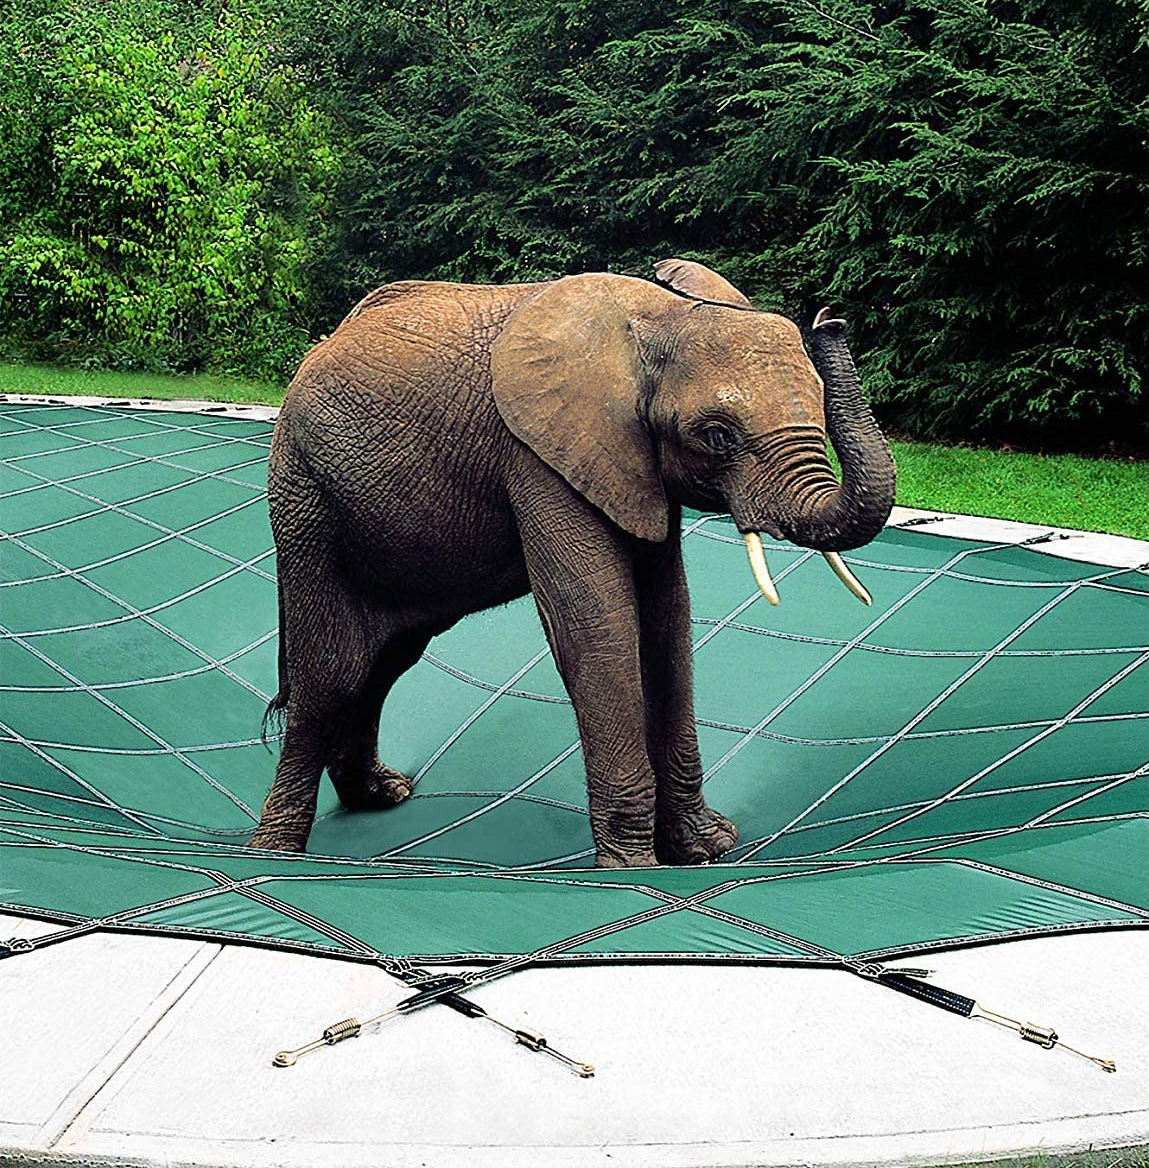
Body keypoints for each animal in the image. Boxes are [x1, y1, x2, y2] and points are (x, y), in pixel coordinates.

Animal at [248, 259, 896, 866]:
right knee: (332, 672)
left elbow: (667, 621)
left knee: (383, 659)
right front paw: (634, 867)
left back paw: (382, 795)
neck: (660, 317)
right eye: (717, 436)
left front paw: (705, 848)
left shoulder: (631, 467)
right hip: (306, 498)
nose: (831, 320)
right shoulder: (540, 455)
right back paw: (275, 852)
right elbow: (598, 626)